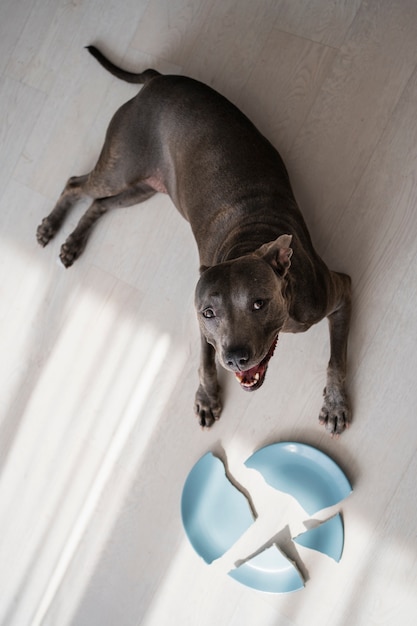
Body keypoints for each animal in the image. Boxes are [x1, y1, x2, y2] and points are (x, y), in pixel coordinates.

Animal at [36, 47, 352, 434]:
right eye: (209, 312)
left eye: (259, 303)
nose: (235, 358)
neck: (249, 241)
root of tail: (156, 80)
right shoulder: (203, 327)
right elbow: (203, 359)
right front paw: (206, 397)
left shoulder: (340, 293)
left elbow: (336, 359)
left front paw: (335, 403)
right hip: (121, 169)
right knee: (76, 185)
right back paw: (52, 228)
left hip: (140, 186)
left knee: (96, 200)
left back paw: (71, 241)